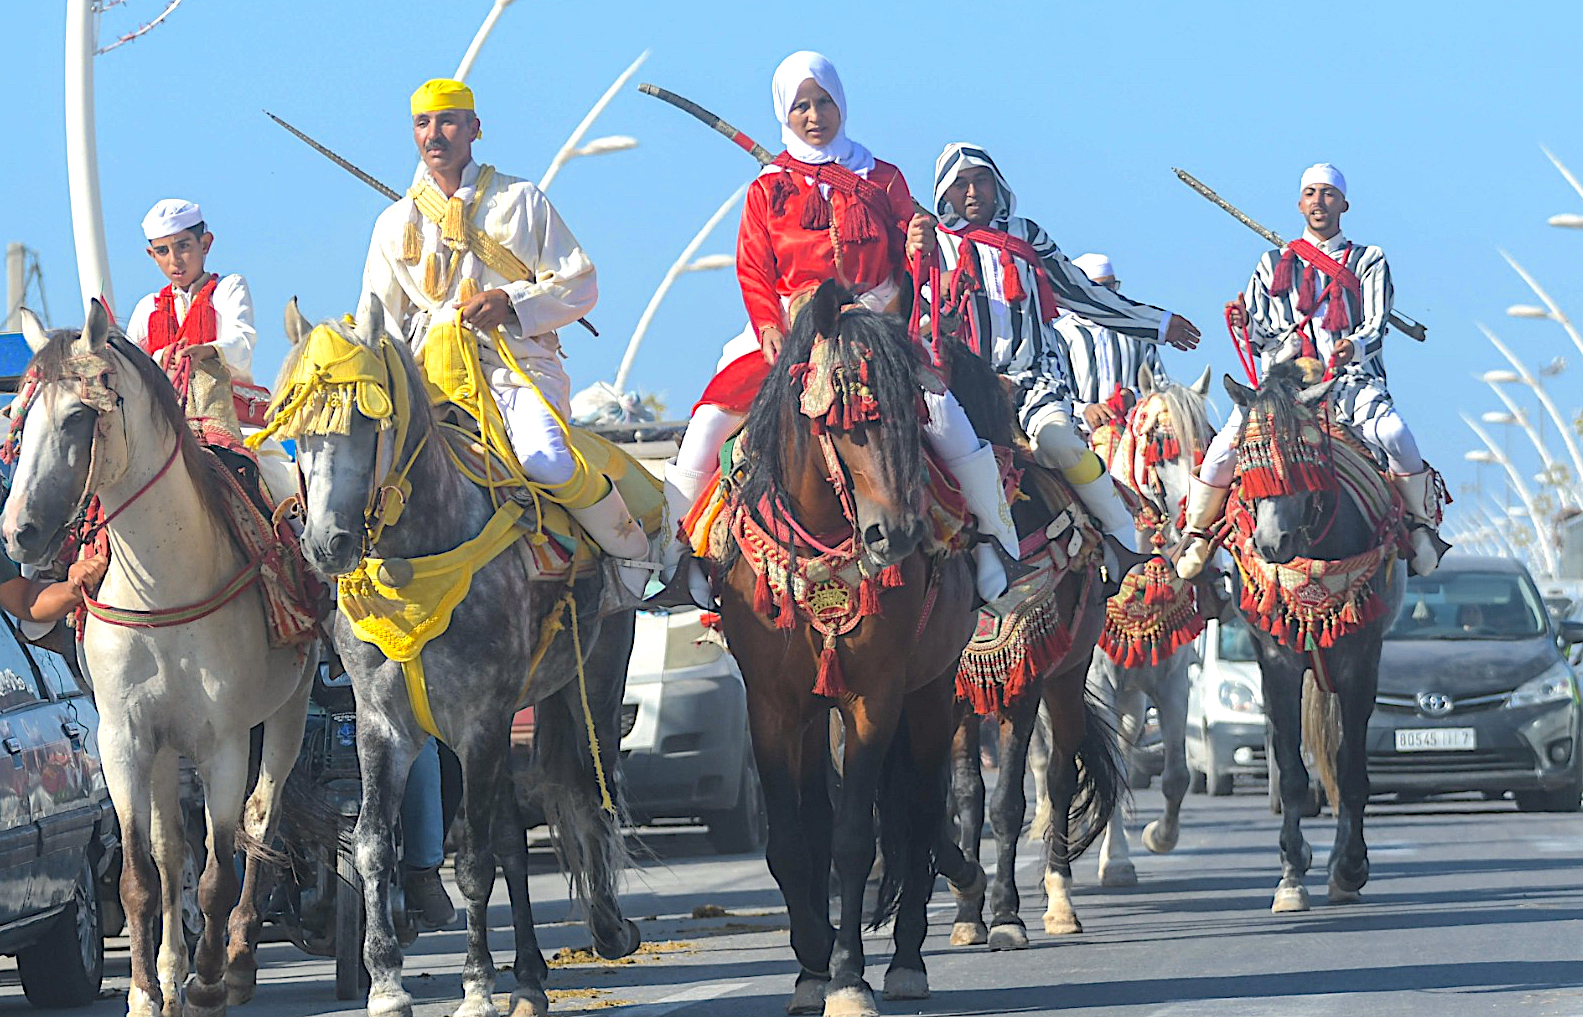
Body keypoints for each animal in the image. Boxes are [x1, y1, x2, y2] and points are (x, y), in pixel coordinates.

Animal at [2, 304, 318, 1013]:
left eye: (78, 417)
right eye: (21, 420)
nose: (17, 533)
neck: (164, 582)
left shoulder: (224, 742)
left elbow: (218, 870)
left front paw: (208, 978)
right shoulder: (125, 740)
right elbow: (143, 875)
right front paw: (149, 990)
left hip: (289, 708)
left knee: (261, 818)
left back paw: (235, 962)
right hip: (168, 747)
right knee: (173, 848)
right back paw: (174, 970)